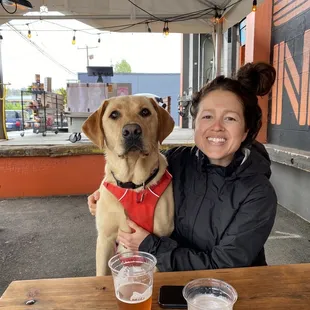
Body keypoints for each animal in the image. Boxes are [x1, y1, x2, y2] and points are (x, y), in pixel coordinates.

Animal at [81, 95, 174, 274]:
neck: (134, 185)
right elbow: (101, 273)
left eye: (145, 112)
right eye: (114, 114)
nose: (132, 131)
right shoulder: (105, 239)